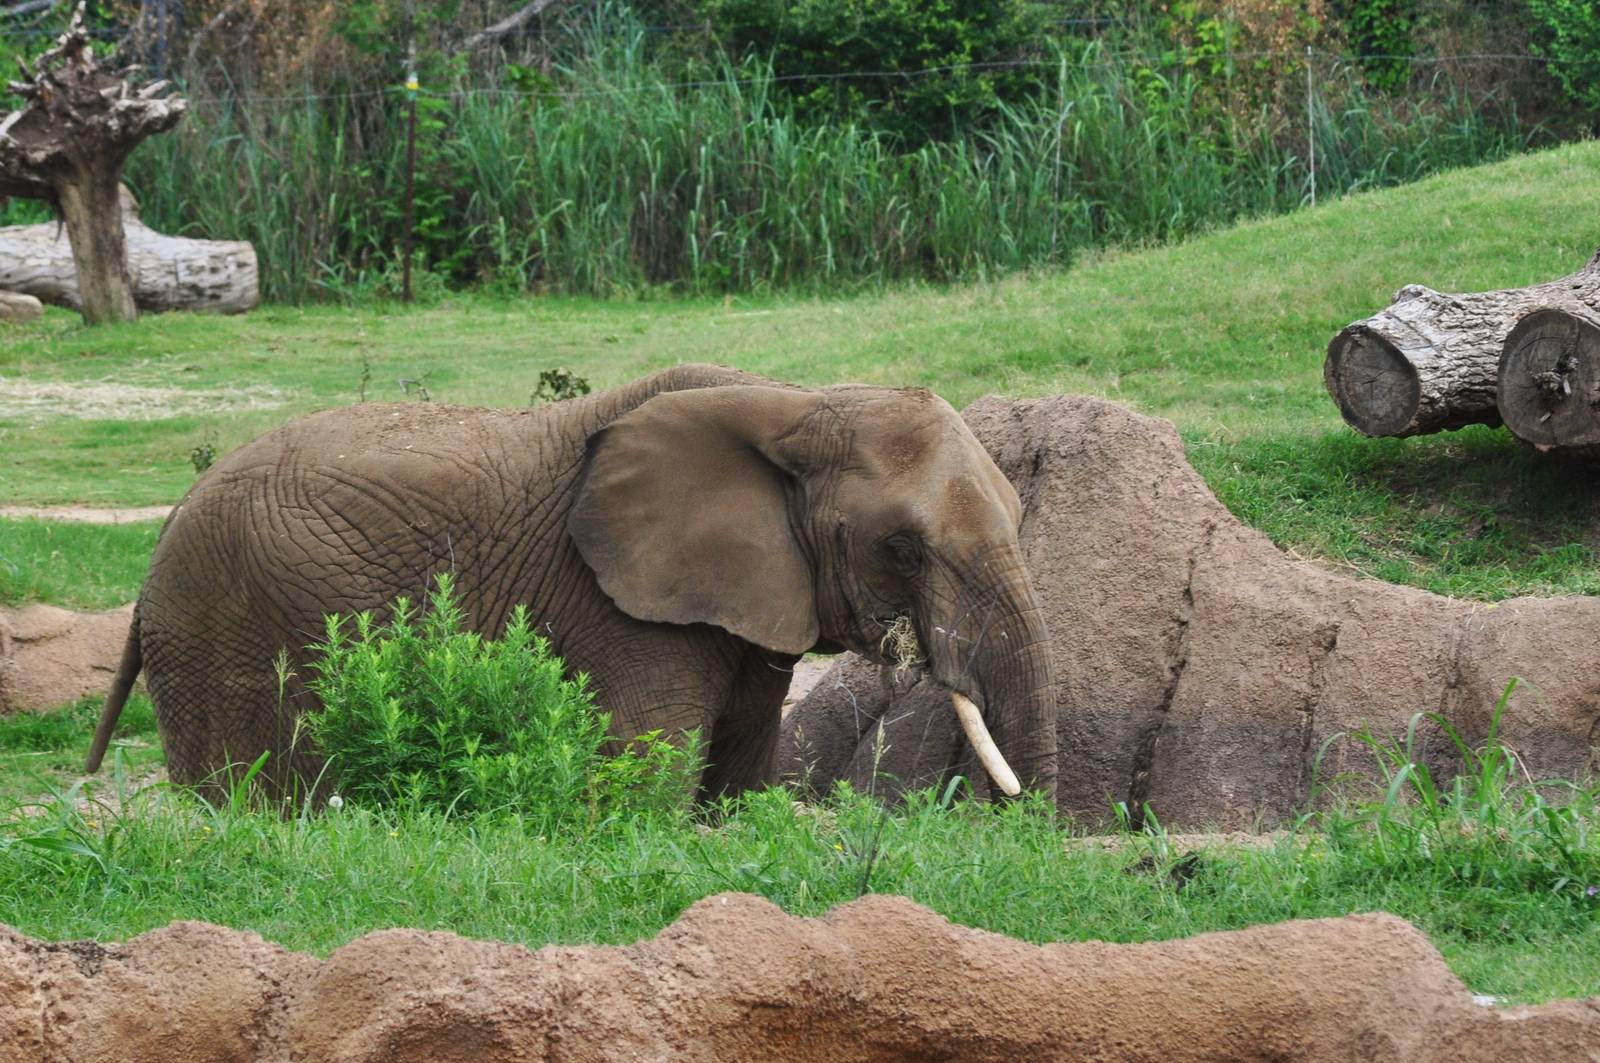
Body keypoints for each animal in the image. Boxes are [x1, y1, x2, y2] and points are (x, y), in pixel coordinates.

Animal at [85, 364, 1057, 804]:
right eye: (902, 548)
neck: (796, 402)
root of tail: (167, 526)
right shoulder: (623, 605)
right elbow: (648, 768)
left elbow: (739, 766)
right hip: (221, 623)